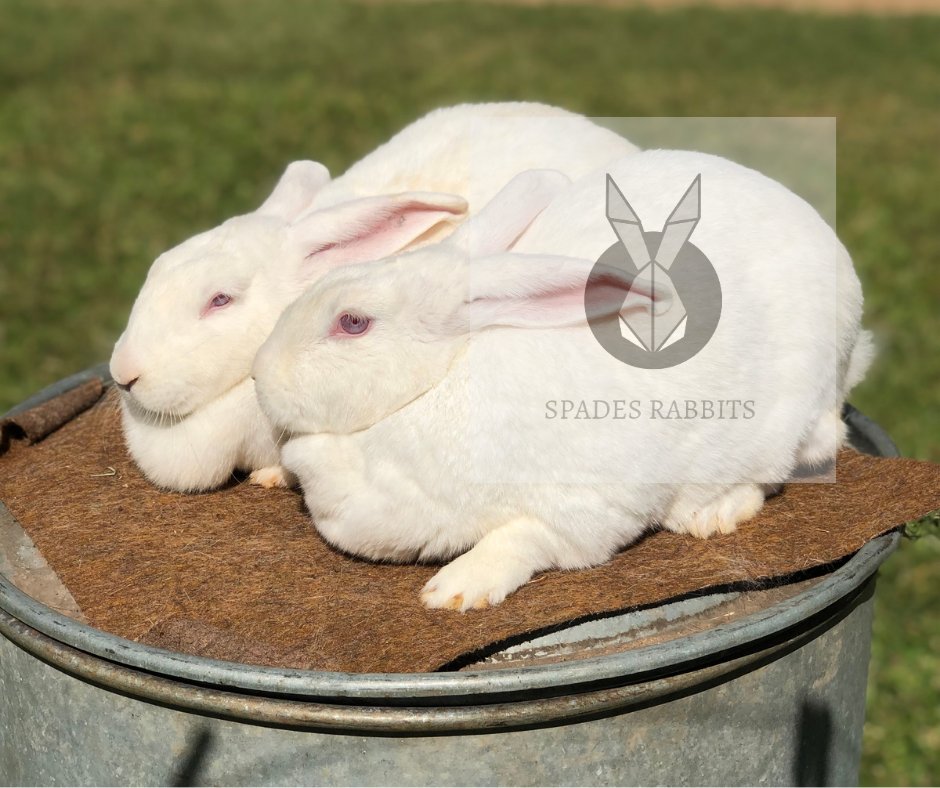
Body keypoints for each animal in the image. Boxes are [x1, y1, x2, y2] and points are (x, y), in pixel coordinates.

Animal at [251, 151, 873, 611]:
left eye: (352, 322)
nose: (259, 375)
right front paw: (272, 473)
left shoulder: (582, 514)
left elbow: (518, 538)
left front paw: (455, 589)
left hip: (790, 419)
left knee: (793, 462)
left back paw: (711, 515)